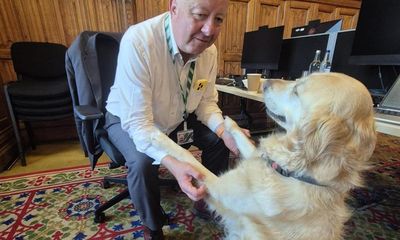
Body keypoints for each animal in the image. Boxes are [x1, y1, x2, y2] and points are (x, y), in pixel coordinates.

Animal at [152, 72, 376, 239]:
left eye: (297, 90)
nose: (265, 82)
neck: (293, 173)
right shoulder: (260, 158)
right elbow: (246, 142)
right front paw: (229, 123)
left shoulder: (220, 189)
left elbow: (187, 156)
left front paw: (159, 138)